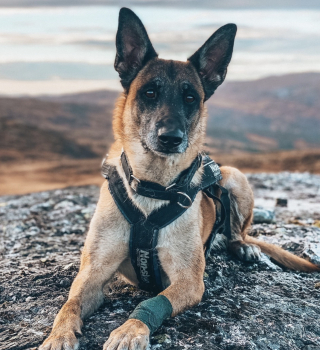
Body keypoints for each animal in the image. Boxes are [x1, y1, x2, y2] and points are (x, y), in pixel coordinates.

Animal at [40, 6, 320, 350]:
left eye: (190, 98)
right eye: (149, 92)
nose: (170, 138)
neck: (153, 186)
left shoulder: (189, 280)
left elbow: (151, 302)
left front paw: (131, 329)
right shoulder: (92, 273)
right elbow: (70, 304)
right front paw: (58, 336)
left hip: (234, 176)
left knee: (237, 233)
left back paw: (245, 248)